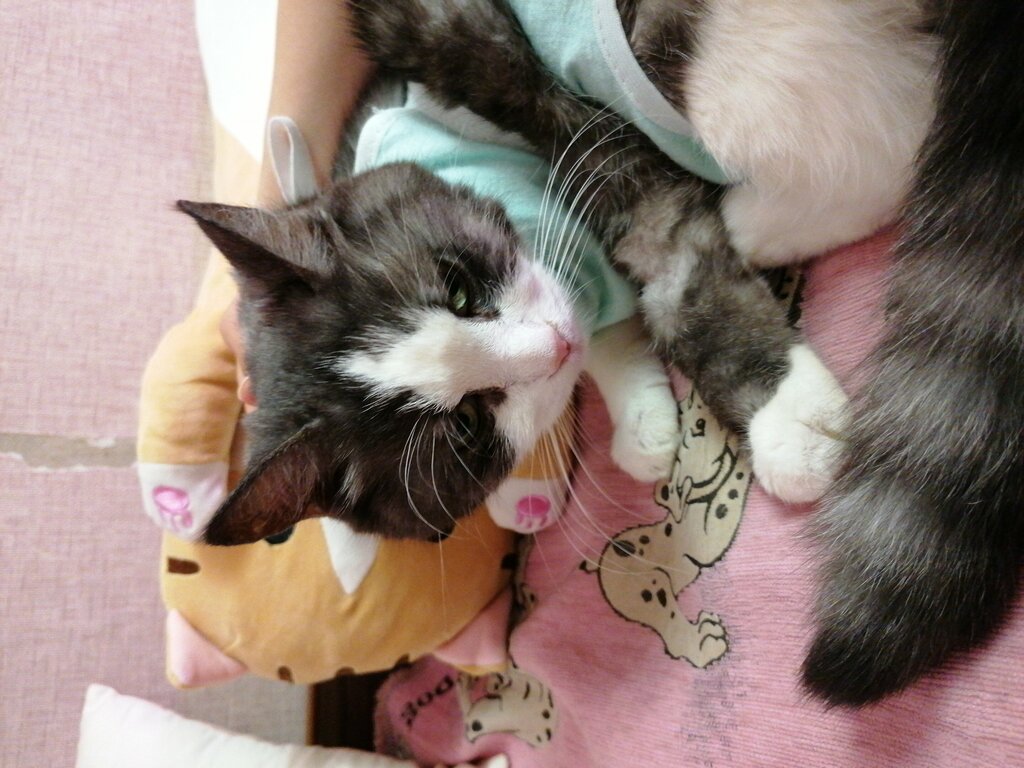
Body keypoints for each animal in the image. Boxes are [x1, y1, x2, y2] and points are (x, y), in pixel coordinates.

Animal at [348, 0, 1024, 705]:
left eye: (458, 290)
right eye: (471, 432)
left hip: (702, 59)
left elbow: (678, 281)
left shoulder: (572, 126)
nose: (545, 347)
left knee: (897, 134)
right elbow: (642, 308)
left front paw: (788, 417)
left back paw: (754, 219)